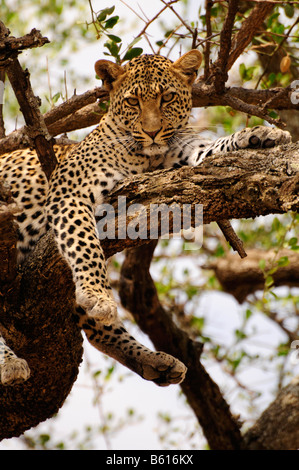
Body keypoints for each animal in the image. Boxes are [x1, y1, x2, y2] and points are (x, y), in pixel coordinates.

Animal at [0, 49, 292, 388]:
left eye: (167, 98)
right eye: (132, 101)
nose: (152, 132)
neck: (146, 157)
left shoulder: (187, 156)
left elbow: (214, 147)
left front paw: (260, 135)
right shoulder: (68, 192)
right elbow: (85, 246)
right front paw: (98, 294)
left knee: (97, 331)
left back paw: (154, 362)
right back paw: (10, 363)